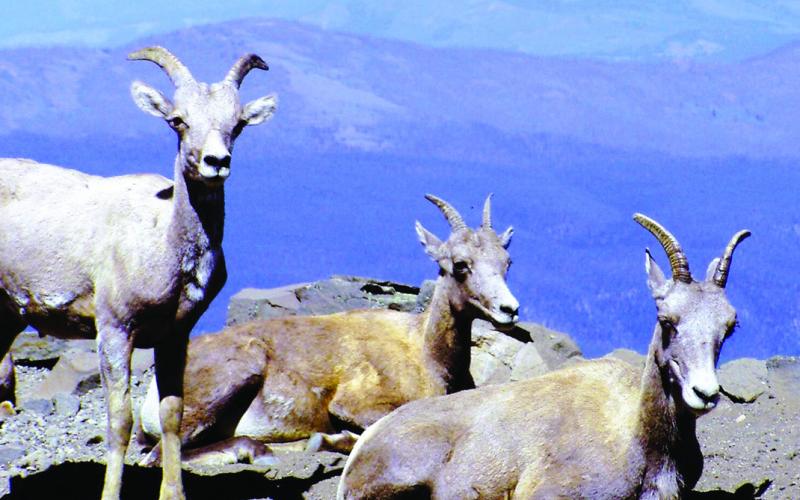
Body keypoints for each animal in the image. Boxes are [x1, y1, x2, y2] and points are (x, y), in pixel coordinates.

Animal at [0, 46, 277, 500]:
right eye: (178, 120)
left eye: (237, 124)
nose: (216, 162)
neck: (163, 241)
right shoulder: (115, 331)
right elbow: (120, 422)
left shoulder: (175, 337)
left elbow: (171, 414)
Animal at [137, 194, 520, 463]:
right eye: (460, 265)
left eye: (506, 261)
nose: (510, 309)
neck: (424, 352)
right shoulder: (354, 403)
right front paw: (327, 440)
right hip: (233, 378)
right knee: (158, 456)